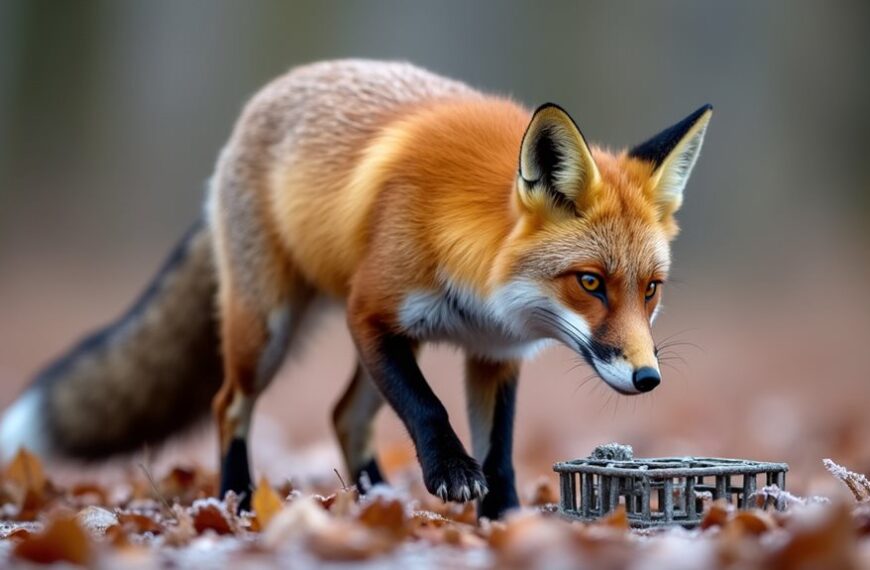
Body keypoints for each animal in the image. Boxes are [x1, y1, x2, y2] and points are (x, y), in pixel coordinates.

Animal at [0, 60, 711, 519]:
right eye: (590, 282)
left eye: (651, 290)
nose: (648, 379)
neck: (483, 288)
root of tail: (263, 100)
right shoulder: (369, 313)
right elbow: (430, 411)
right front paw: (453, 475)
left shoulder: (494, 356)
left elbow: (501, 453)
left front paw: (507, 526)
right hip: (269, 331)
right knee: (229, 404)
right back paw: (237, 499)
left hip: (385, 346)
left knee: (344, 416)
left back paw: (379, 501)